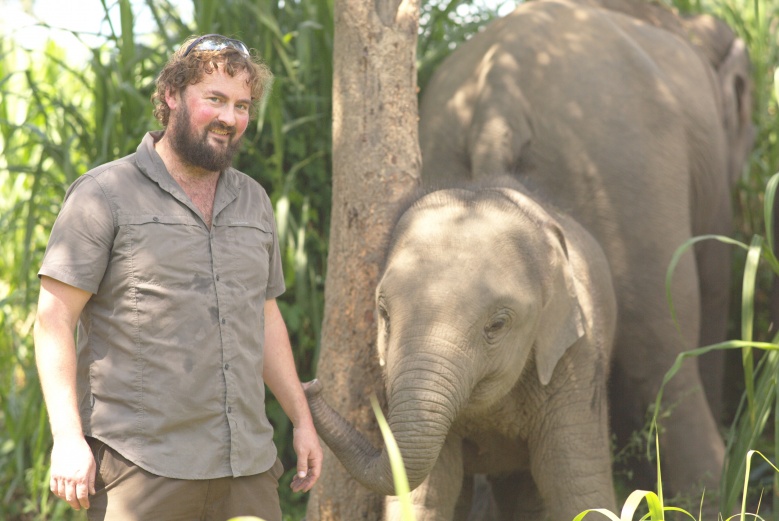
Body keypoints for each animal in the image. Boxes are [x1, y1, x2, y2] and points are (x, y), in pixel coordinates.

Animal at [306, 177, 619, 520]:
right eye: (384, 313)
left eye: (497, 325)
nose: (311, 385)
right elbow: (426, 495)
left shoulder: (578, 359)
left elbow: (579, 488)